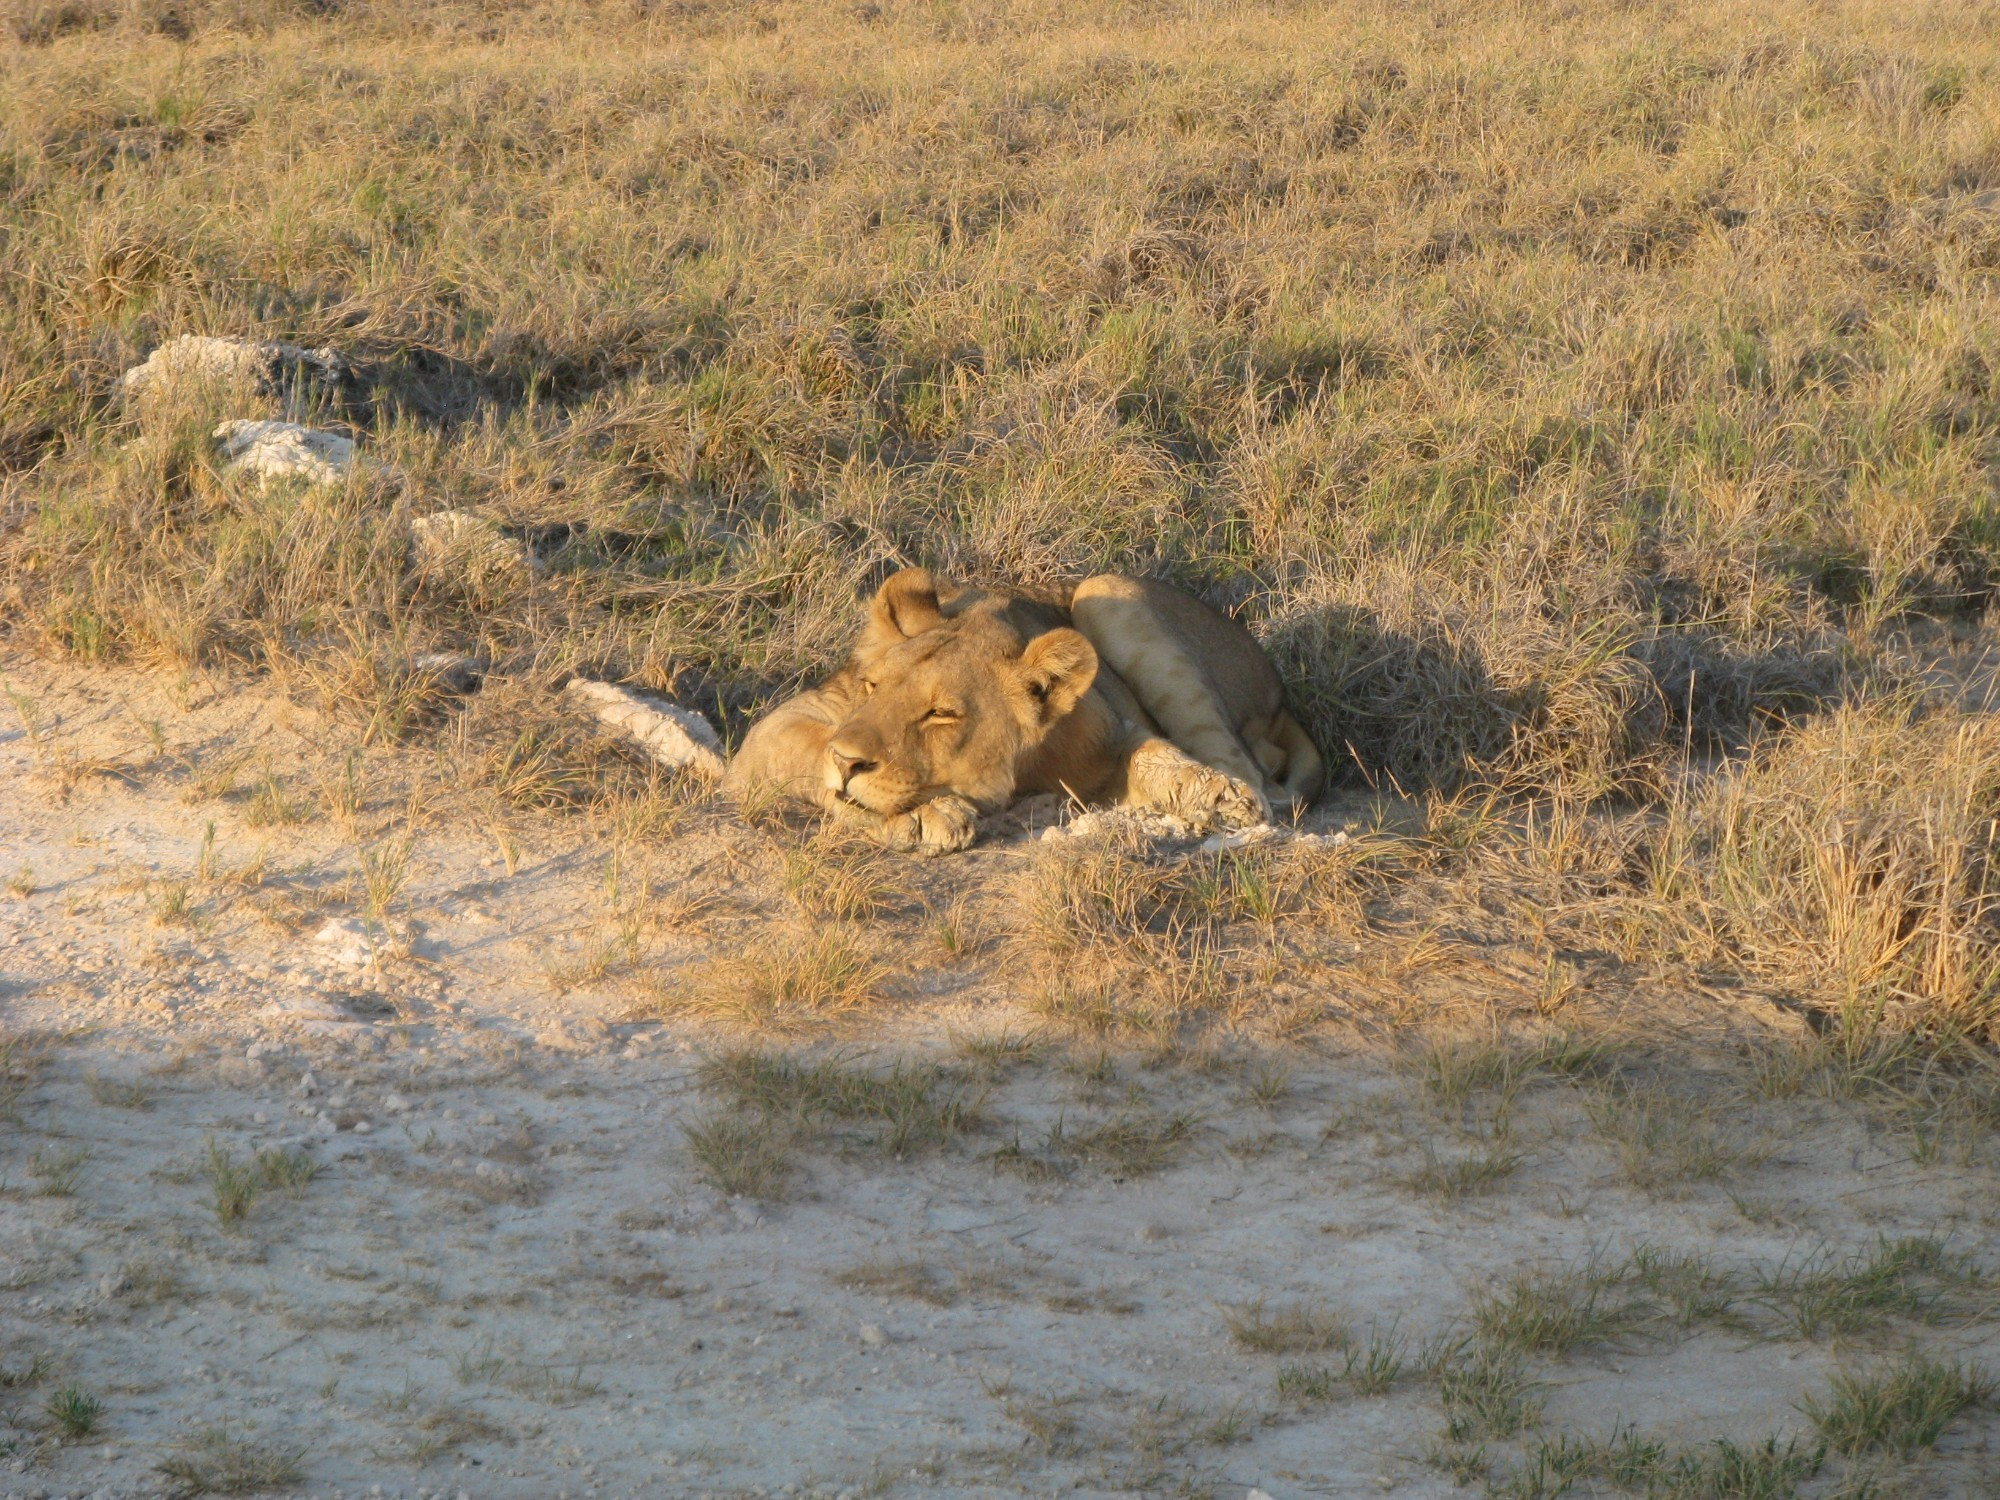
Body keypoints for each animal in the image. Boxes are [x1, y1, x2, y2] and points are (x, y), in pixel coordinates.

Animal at [724, 568, 1328, 856]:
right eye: (871, 686)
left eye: (941, 714)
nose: (849, 763)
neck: (1024, 773)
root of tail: (1275, 690)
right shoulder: (773, 730)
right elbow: (812, 746)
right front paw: (926, 813)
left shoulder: (1109, 740)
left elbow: (1158, 755)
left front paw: (1216, 796)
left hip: (1105, 591)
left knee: (1256, 771)